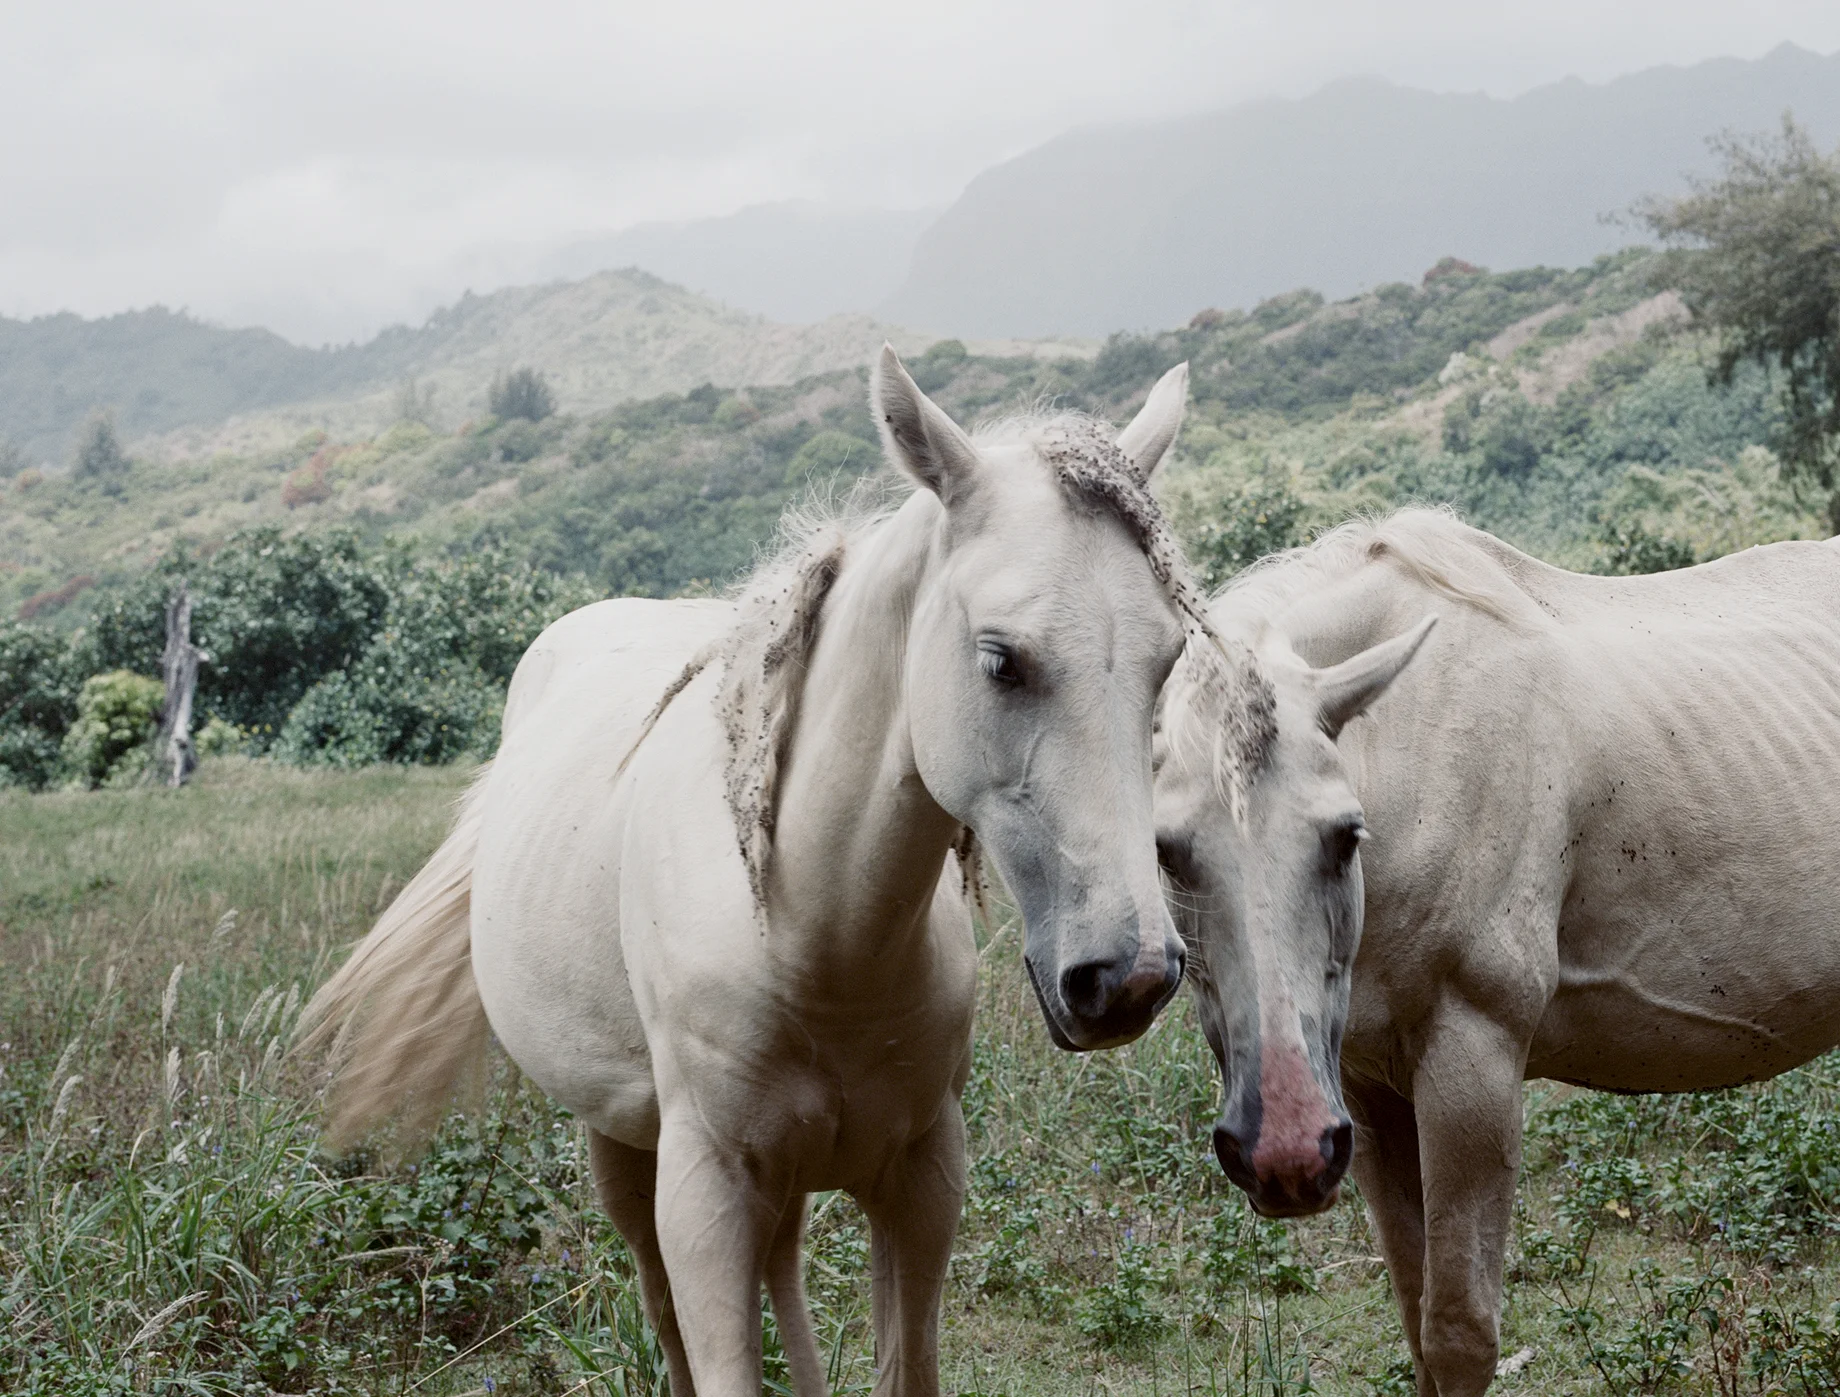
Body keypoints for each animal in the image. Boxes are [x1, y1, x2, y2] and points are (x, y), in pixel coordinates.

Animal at [298, 346, 1228, 1397]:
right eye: (1000, 659)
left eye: (1168, 659)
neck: (812, 935)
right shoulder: (706, 1198)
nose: (1129, 976)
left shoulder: (921, 1179)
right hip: (626, 1149)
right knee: (662, 1309)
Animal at [1153, 506, 1840, 1396]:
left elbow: (1458, 1332)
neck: (1418, 741)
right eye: (1168, 850)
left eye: (1345, 835)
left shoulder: (1471, 1062)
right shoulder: (1368, 1089)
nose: (1286, 1150)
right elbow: (1417, 1319)